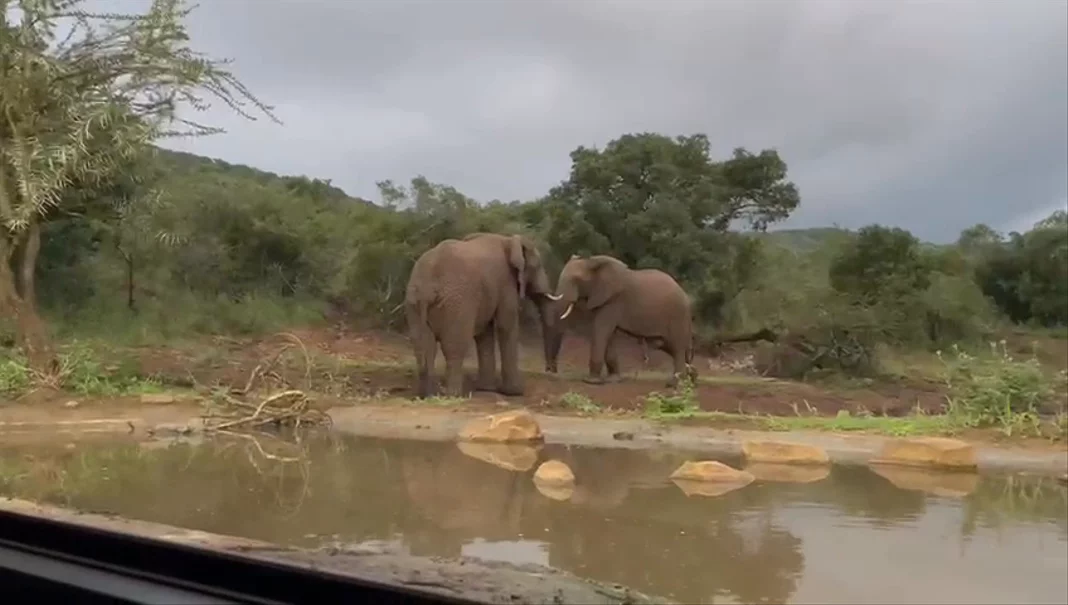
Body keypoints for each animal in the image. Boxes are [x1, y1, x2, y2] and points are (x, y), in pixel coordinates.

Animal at [405, 232, 561, 398]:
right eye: (537, 266)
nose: (549, 370)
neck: (508, 240)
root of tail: (428, 284)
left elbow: (484, 333)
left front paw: (487, 388)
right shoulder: (506, 283)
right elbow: (506, 325)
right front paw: (515, 392)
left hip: (414, 301)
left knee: (424, 346)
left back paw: (427, 395)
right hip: (456, 302)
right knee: (454, 346)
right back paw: (453, 395)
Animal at [547, 254, 696, 386]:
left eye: (576, 279)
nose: (553, 373)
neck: (591, 261)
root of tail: (686, 296)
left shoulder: (613, 301)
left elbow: (601, 331)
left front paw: (591, 382)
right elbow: (608, 336)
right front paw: (613, 380)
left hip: (677, 315)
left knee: (677, 348)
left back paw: (674, 384)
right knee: (670, 346)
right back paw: (692, 378)